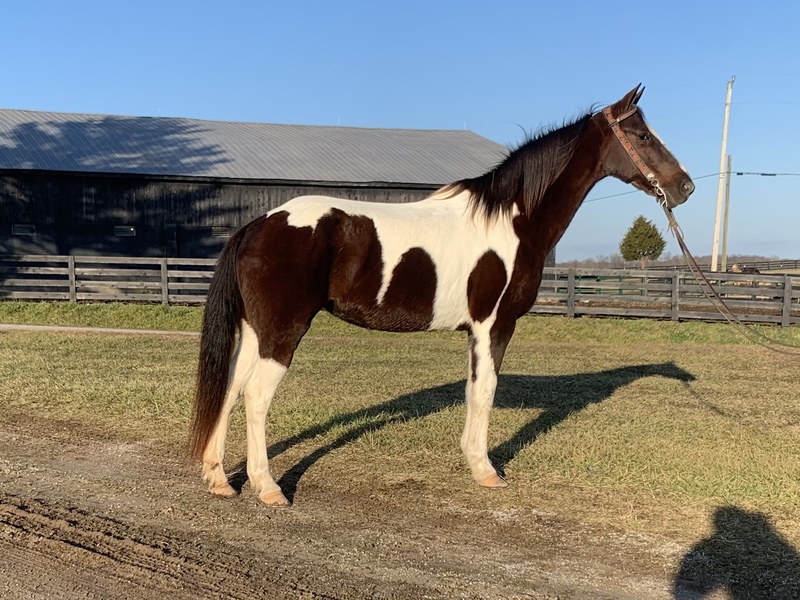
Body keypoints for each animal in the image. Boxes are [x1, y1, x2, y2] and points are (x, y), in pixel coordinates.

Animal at [189, 85, 694, 507]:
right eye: (642, 135)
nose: (684, 187)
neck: (512, 218)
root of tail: (258, 224)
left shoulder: (476, 330)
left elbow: (474, 391)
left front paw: (473, 460)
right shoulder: (495, 325)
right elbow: (486, 391)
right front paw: (486, 471)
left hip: (256, 330)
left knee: (230, 389)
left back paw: (219, 479)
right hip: (283, 330)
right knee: (256, 395)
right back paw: (268, 487)